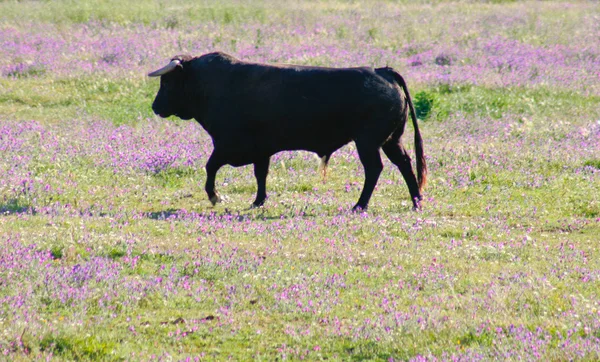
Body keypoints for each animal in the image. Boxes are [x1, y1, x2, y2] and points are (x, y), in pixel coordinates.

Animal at [147, 51, 424, 209]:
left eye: (167, 82)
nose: (155, 107)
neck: (211, 83)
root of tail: (383, 71)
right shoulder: (261, 150)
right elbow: (261, 175)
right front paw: (259, 201)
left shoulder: (227, 146)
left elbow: (210, 166)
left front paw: (215, 196)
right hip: (391, 140)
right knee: (405, 163)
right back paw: (416, 201)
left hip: (367, 143)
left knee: (374, 169)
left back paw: (360, 205)